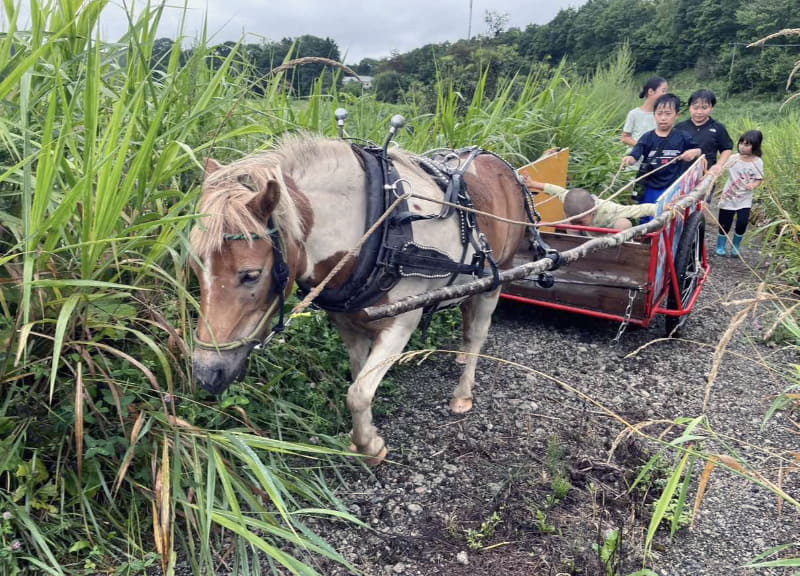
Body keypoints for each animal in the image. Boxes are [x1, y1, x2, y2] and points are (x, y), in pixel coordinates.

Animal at [190, 134, 534, 464]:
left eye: (251, 274)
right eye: (194, 266)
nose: (207, 373)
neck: (376, 227)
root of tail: (500, 164)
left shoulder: (401, 322)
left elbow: (358, 393)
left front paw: (370, 447)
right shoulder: (347, 321)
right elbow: (357, 381)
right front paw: (363, 435)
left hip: (498, 276)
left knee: (478, 332)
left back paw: (462, 393)